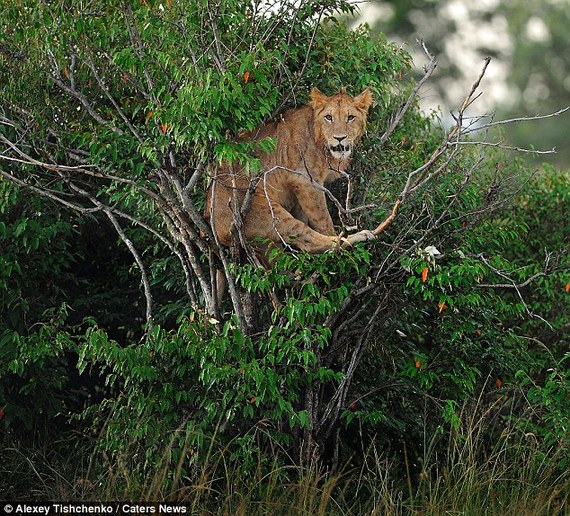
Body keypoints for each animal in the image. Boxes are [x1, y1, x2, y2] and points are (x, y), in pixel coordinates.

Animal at [203, 88, 372, 254]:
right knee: (310, 242)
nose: (339, 138)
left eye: (350, 117)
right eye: (329, 117)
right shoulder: (306, 180)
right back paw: (354, 237)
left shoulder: (299, 189)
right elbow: (322, 218)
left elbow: (304, 212)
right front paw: (332, 232)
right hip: (268, 213)